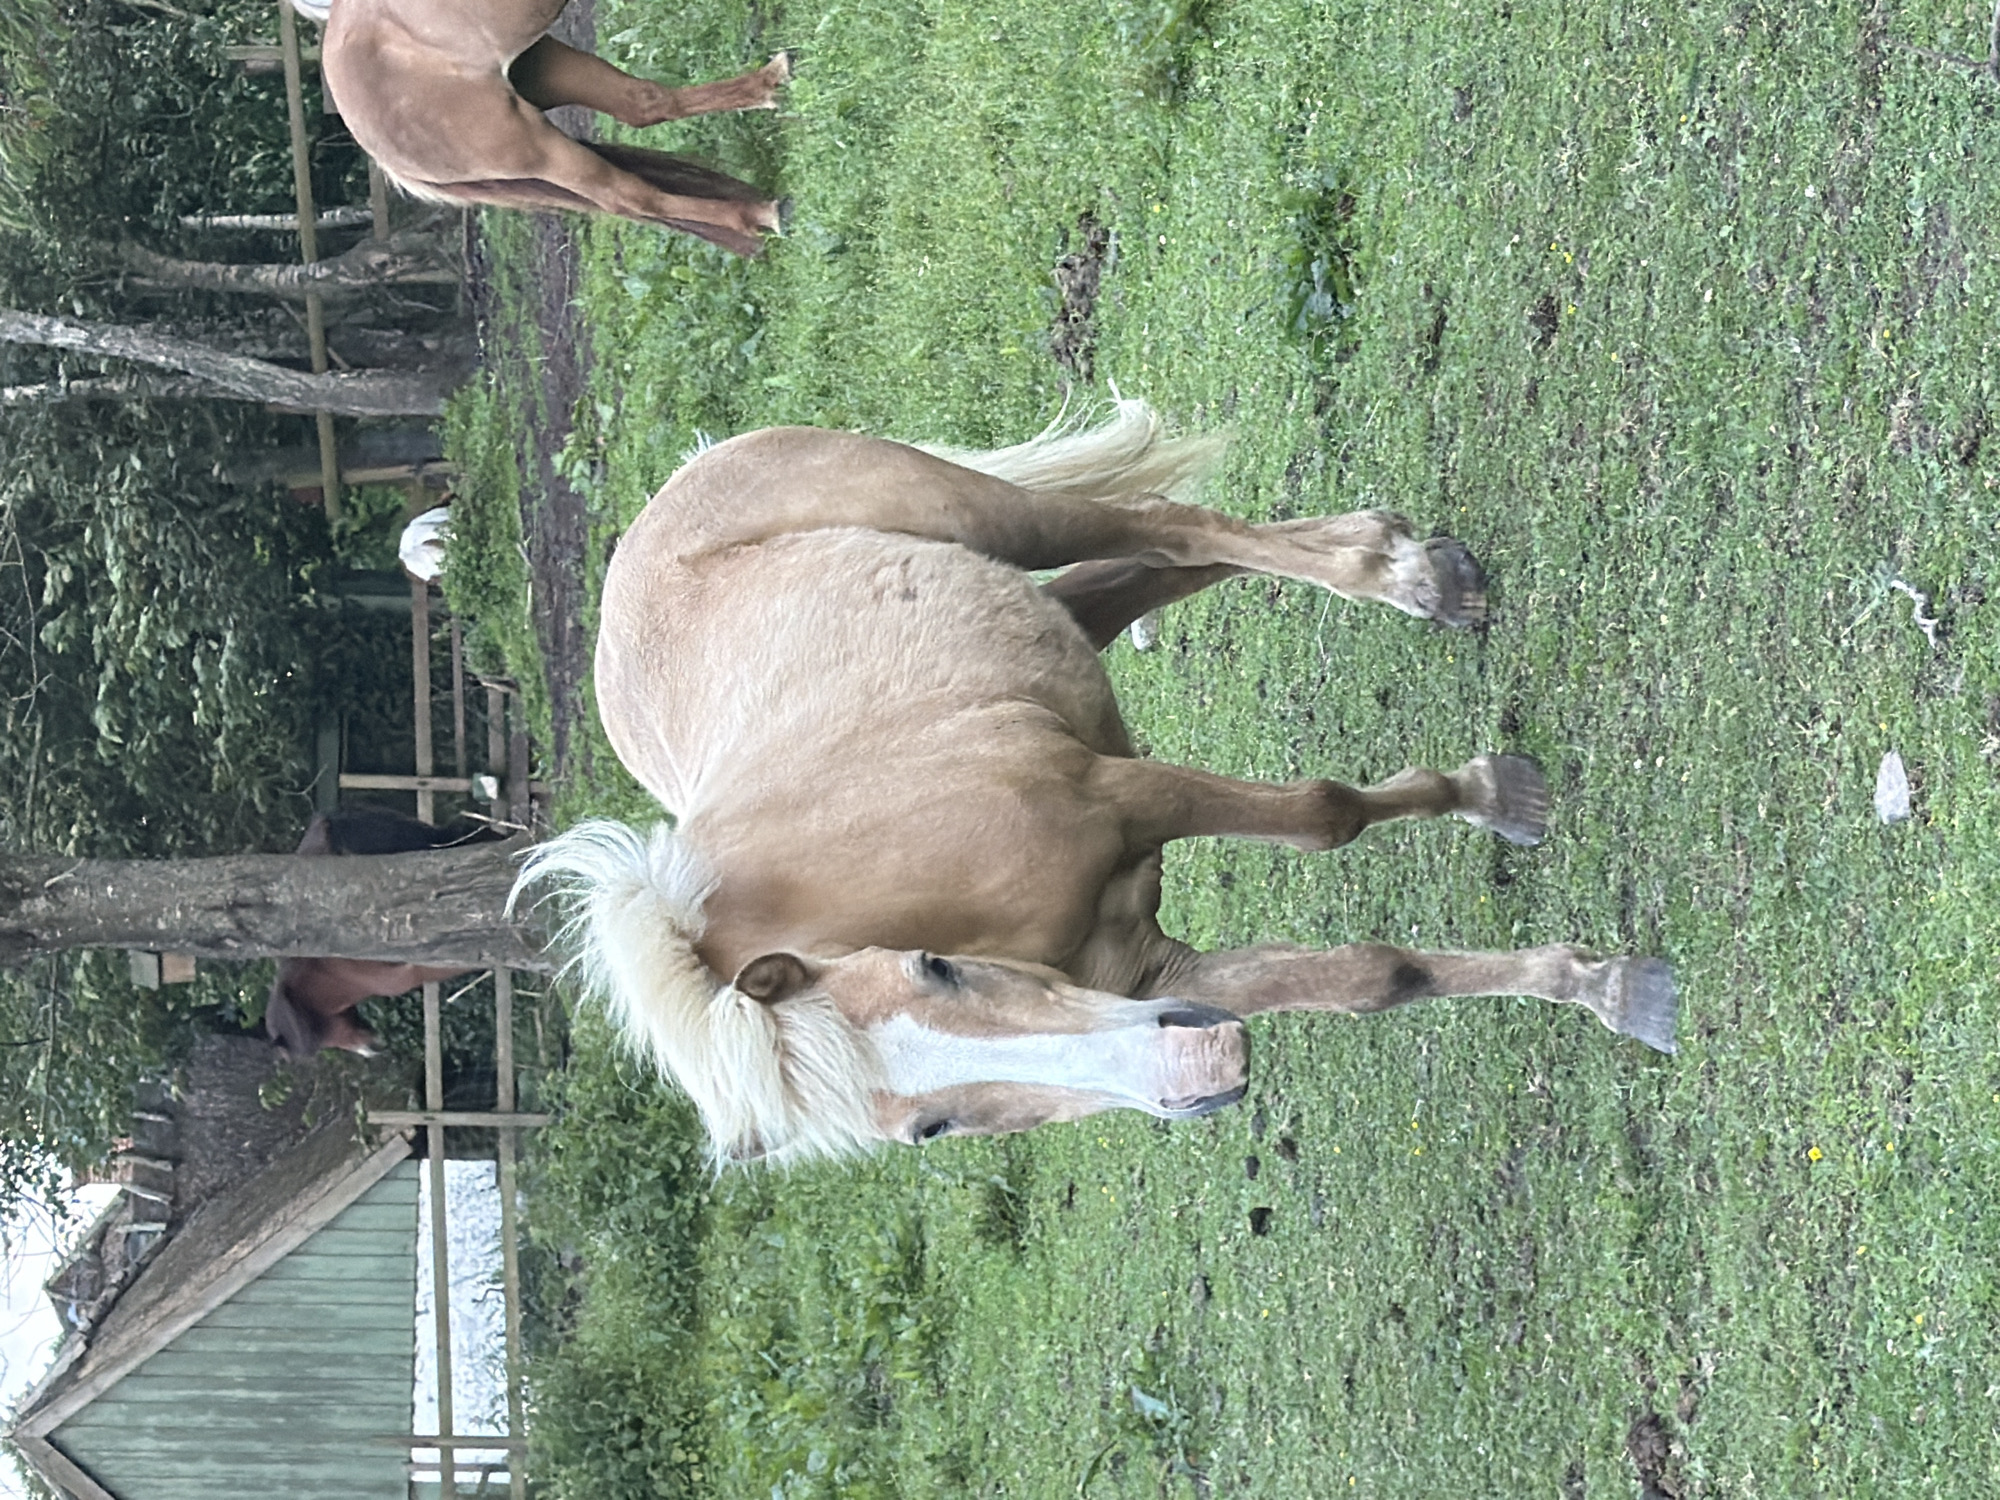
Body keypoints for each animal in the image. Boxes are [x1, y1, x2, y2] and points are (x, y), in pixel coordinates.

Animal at [289, 0, 788, 255]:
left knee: (643, 104)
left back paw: (771, 81)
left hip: (547, 64)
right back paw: (758, 213)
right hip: (535, 148)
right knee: (628, 197)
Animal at [515, 401, 1678, 1166]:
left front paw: (1498, 800)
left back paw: (1408, 580)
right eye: (930, 1129)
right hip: (1054, 613)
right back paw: (1402, 556)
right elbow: (1374, 976)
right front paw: (1604, 983)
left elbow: (1323, 818)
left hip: (999, 520)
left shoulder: (1123, 797)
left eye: (937, 970)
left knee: (1166, 524)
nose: (1197, 1074)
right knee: (1165, 565)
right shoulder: (1158, 975)